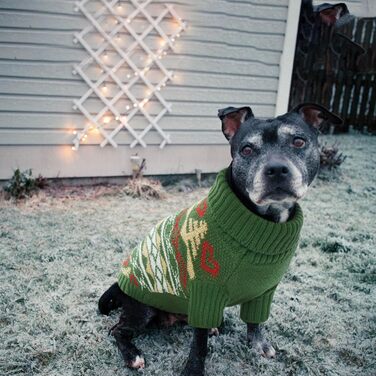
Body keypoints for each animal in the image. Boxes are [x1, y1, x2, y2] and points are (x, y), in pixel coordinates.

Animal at [98, 103, 342, 376]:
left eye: (298, 141)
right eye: (247, 149)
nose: (277, 169)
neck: (264, 222)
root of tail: (118, 284)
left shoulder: (264, 291)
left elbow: (255, 321)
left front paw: (259, 344)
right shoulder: (205, 294)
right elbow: (199, 344)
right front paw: (193, 371)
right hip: (143, 308)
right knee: (117, 330)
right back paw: (133, 355)